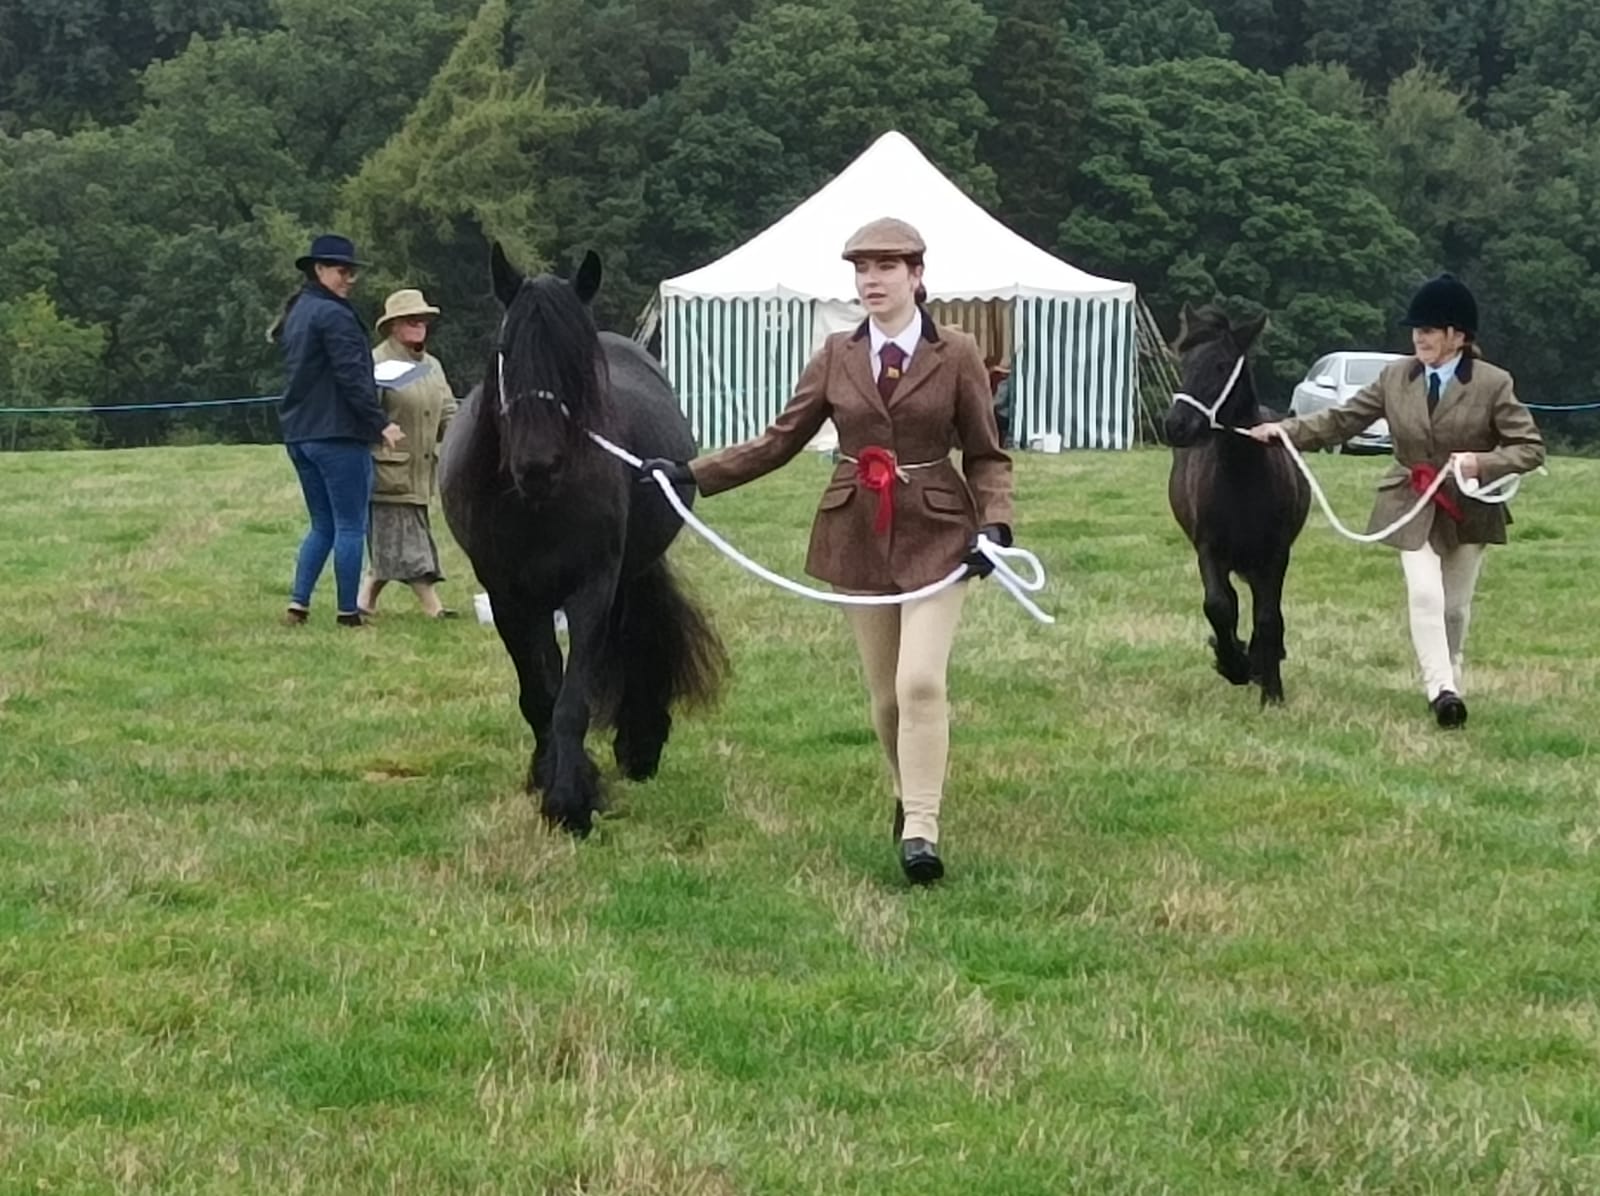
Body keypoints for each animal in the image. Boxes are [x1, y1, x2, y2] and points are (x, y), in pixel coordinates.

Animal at [444, 247, 732, 837]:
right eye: (506, 351)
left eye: (577, 359)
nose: (537, 464)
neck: (532, 505)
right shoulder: (510, 598)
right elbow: (540, 696)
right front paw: (549, 778)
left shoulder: (592, 589)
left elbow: (571, 702)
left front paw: (571, 800)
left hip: (629, 574)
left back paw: (640, 744)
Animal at [1164, 303, 1312, 706]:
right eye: (1184, 362)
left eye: (1220, 365)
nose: (1175, 425)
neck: (1242, 478)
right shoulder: (1209, 549)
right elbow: (1218, 605)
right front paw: (1234, 664)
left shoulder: (1275, 554)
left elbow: (1268, 617)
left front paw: (1271, 691)